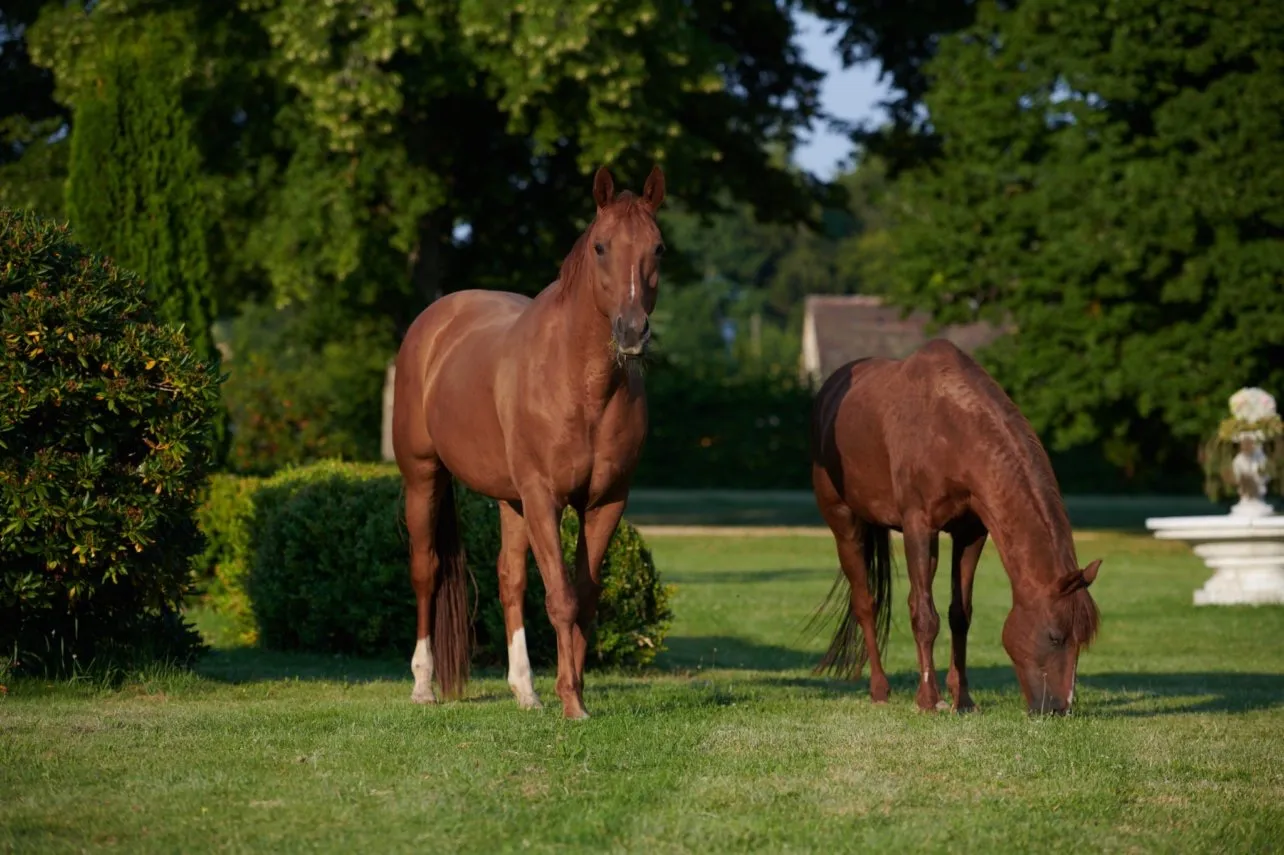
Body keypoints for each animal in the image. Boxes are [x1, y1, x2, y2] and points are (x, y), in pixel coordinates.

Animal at [391, 165, 666, 719]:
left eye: (659, 248)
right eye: (601, 246)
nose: (631, 331)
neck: (582, 383)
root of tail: (432, 323)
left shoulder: (605, 502)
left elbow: (584, 598)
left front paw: (570, 690)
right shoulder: (544, 497)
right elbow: (560, 597)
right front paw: (573, 703)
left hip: (510, 500)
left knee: (509, 578)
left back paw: (525, 689)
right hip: (424, 476)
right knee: (426, 571)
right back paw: (423, 684)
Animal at [809, 338, 1101, 715]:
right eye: (1055, 636)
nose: (1059, 708)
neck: (951, 430)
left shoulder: (970, 533)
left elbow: (959, 615)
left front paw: (962, 699)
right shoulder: (919, 527)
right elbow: (924, 615)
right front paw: (928, 700)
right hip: (844, 523)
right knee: (865, 603)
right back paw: (879, 689)